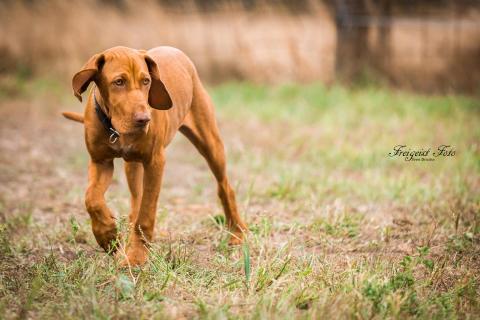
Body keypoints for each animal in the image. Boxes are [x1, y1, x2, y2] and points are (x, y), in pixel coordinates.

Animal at [62, 45, 248, 264]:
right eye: (119, 82)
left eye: (146, 81)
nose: (144, 120)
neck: (115, 128)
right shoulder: (100, 162)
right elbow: (92, 199)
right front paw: (108, 236)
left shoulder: (155, 162)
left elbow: (146, 213)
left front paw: (136, 256)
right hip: (132, 165)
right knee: (136, 199)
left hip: (211, 144)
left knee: (225, 187)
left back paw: (237, 233)